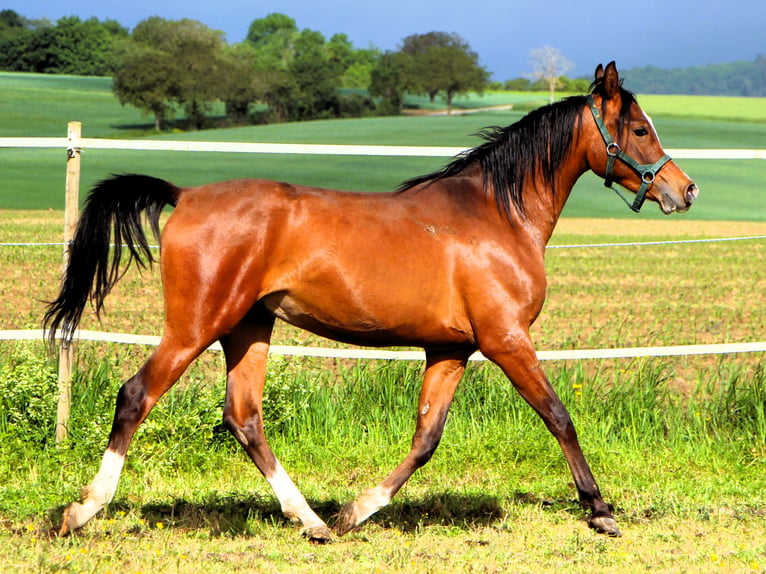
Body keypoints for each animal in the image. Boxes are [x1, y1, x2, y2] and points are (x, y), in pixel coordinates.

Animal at [44, 62, 697, 541]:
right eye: (641, 129)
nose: (684, 190)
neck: (498, 215)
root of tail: (185, 195)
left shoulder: (450, 350)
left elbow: (426, 439)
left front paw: (356, 511)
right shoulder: (507, 340)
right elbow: (558, 416)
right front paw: (601, 511)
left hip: (248, 327)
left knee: (244, 417)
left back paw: (312, 522)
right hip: (196, 325)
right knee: (136, 396)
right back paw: (81, 512)